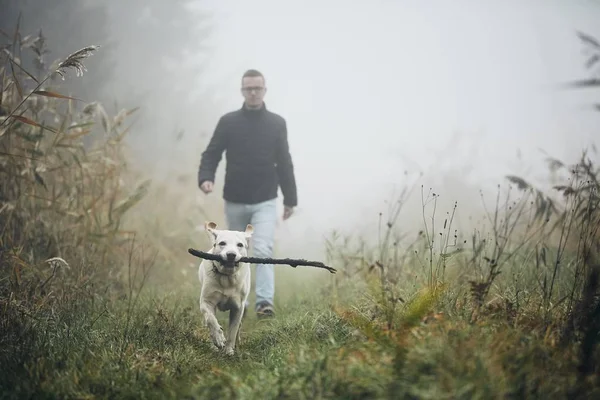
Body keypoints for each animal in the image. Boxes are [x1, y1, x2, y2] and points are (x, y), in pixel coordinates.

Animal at [197, 222, 253, 356]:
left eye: (240, 245)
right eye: (222, 243)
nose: (231, 255)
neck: (227, 278)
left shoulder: (238, 308)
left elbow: (232, 331)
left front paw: (229, 351)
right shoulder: (206, 302)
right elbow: (211, 319)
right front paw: (218, 338)